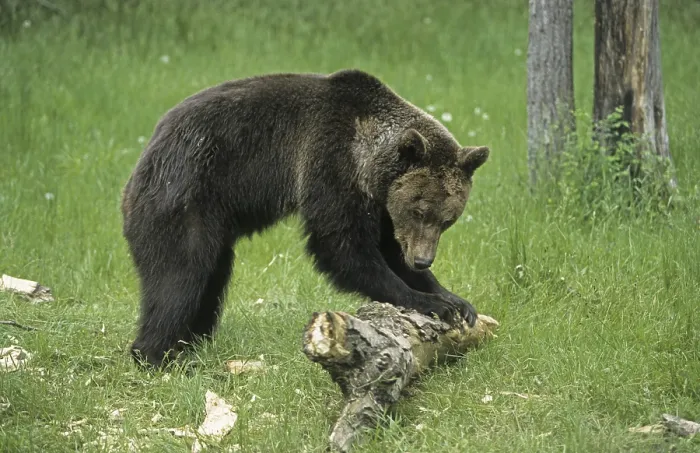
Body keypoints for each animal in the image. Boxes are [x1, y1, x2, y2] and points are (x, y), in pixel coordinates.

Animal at [121, 69, 490, 367]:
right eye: (419, 210)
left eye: (447, 219)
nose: (423, 259)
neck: (367, 158)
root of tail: (143, 158)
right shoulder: (329, 162)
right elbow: (341, 246)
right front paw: (428, 301)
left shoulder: (380, 204)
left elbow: (387, 248)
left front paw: (454, 299)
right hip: (185, 197)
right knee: (179, 278)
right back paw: (156, 354)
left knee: (211, 278)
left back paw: (194, 340)